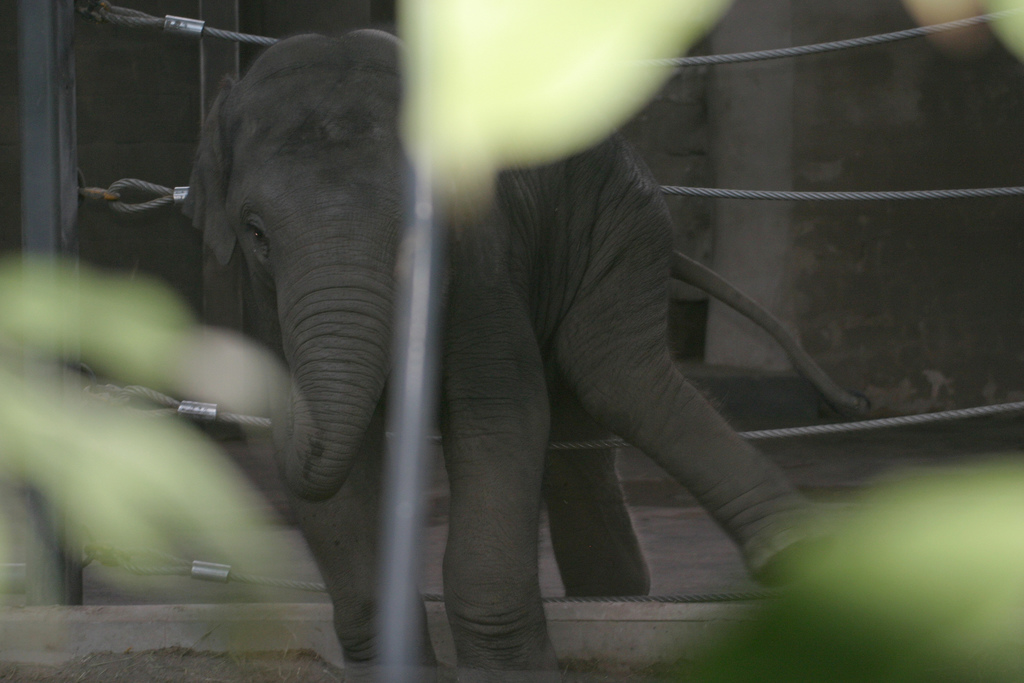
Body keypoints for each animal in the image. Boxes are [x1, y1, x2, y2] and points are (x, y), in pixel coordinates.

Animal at [186, 29, 812, 681]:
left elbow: (498, 417)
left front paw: (510, 672)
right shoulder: (268, 298)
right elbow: (341, 472)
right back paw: (616, 595)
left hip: (618, 215)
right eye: (256, 233)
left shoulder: (480, 258)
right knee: (583, 421)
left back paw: (790, 559)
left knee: (619, 375)